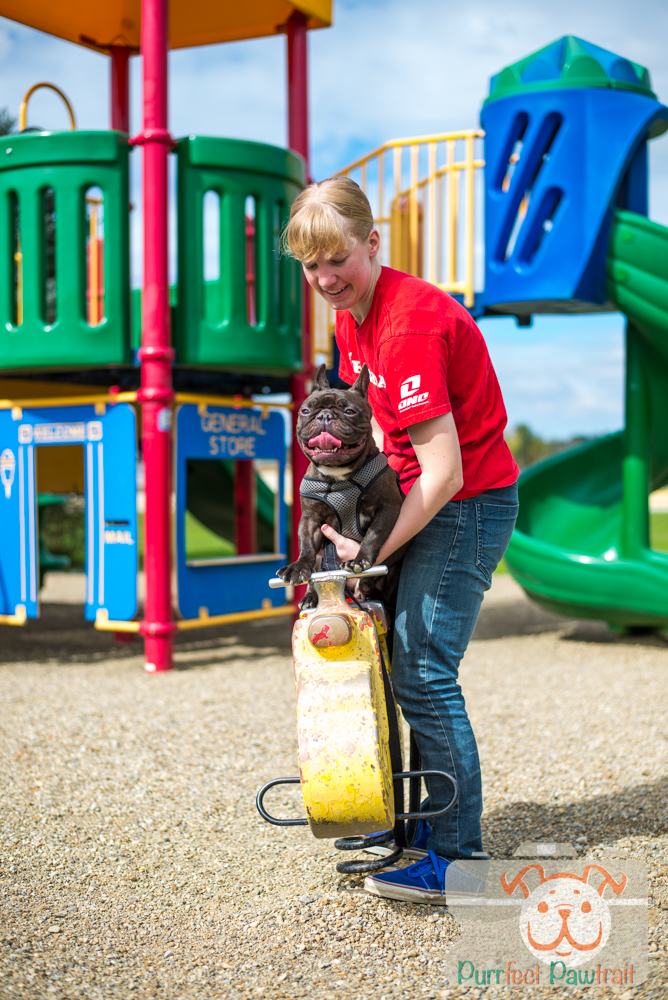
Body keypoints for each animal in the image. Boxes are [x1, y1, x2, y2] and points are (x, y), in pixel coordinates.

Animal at [277, 363, 404, 610]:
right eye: (305, 411)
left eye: (350, 411)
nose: (325, 416)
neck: (337, 476)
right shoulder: (310, 518)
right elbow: (306, 546)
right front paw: (297, 566)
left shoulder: (388, 507)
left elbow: (373, 535)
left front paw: (360, 560)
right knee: (318, 569)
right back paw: (310, 597)